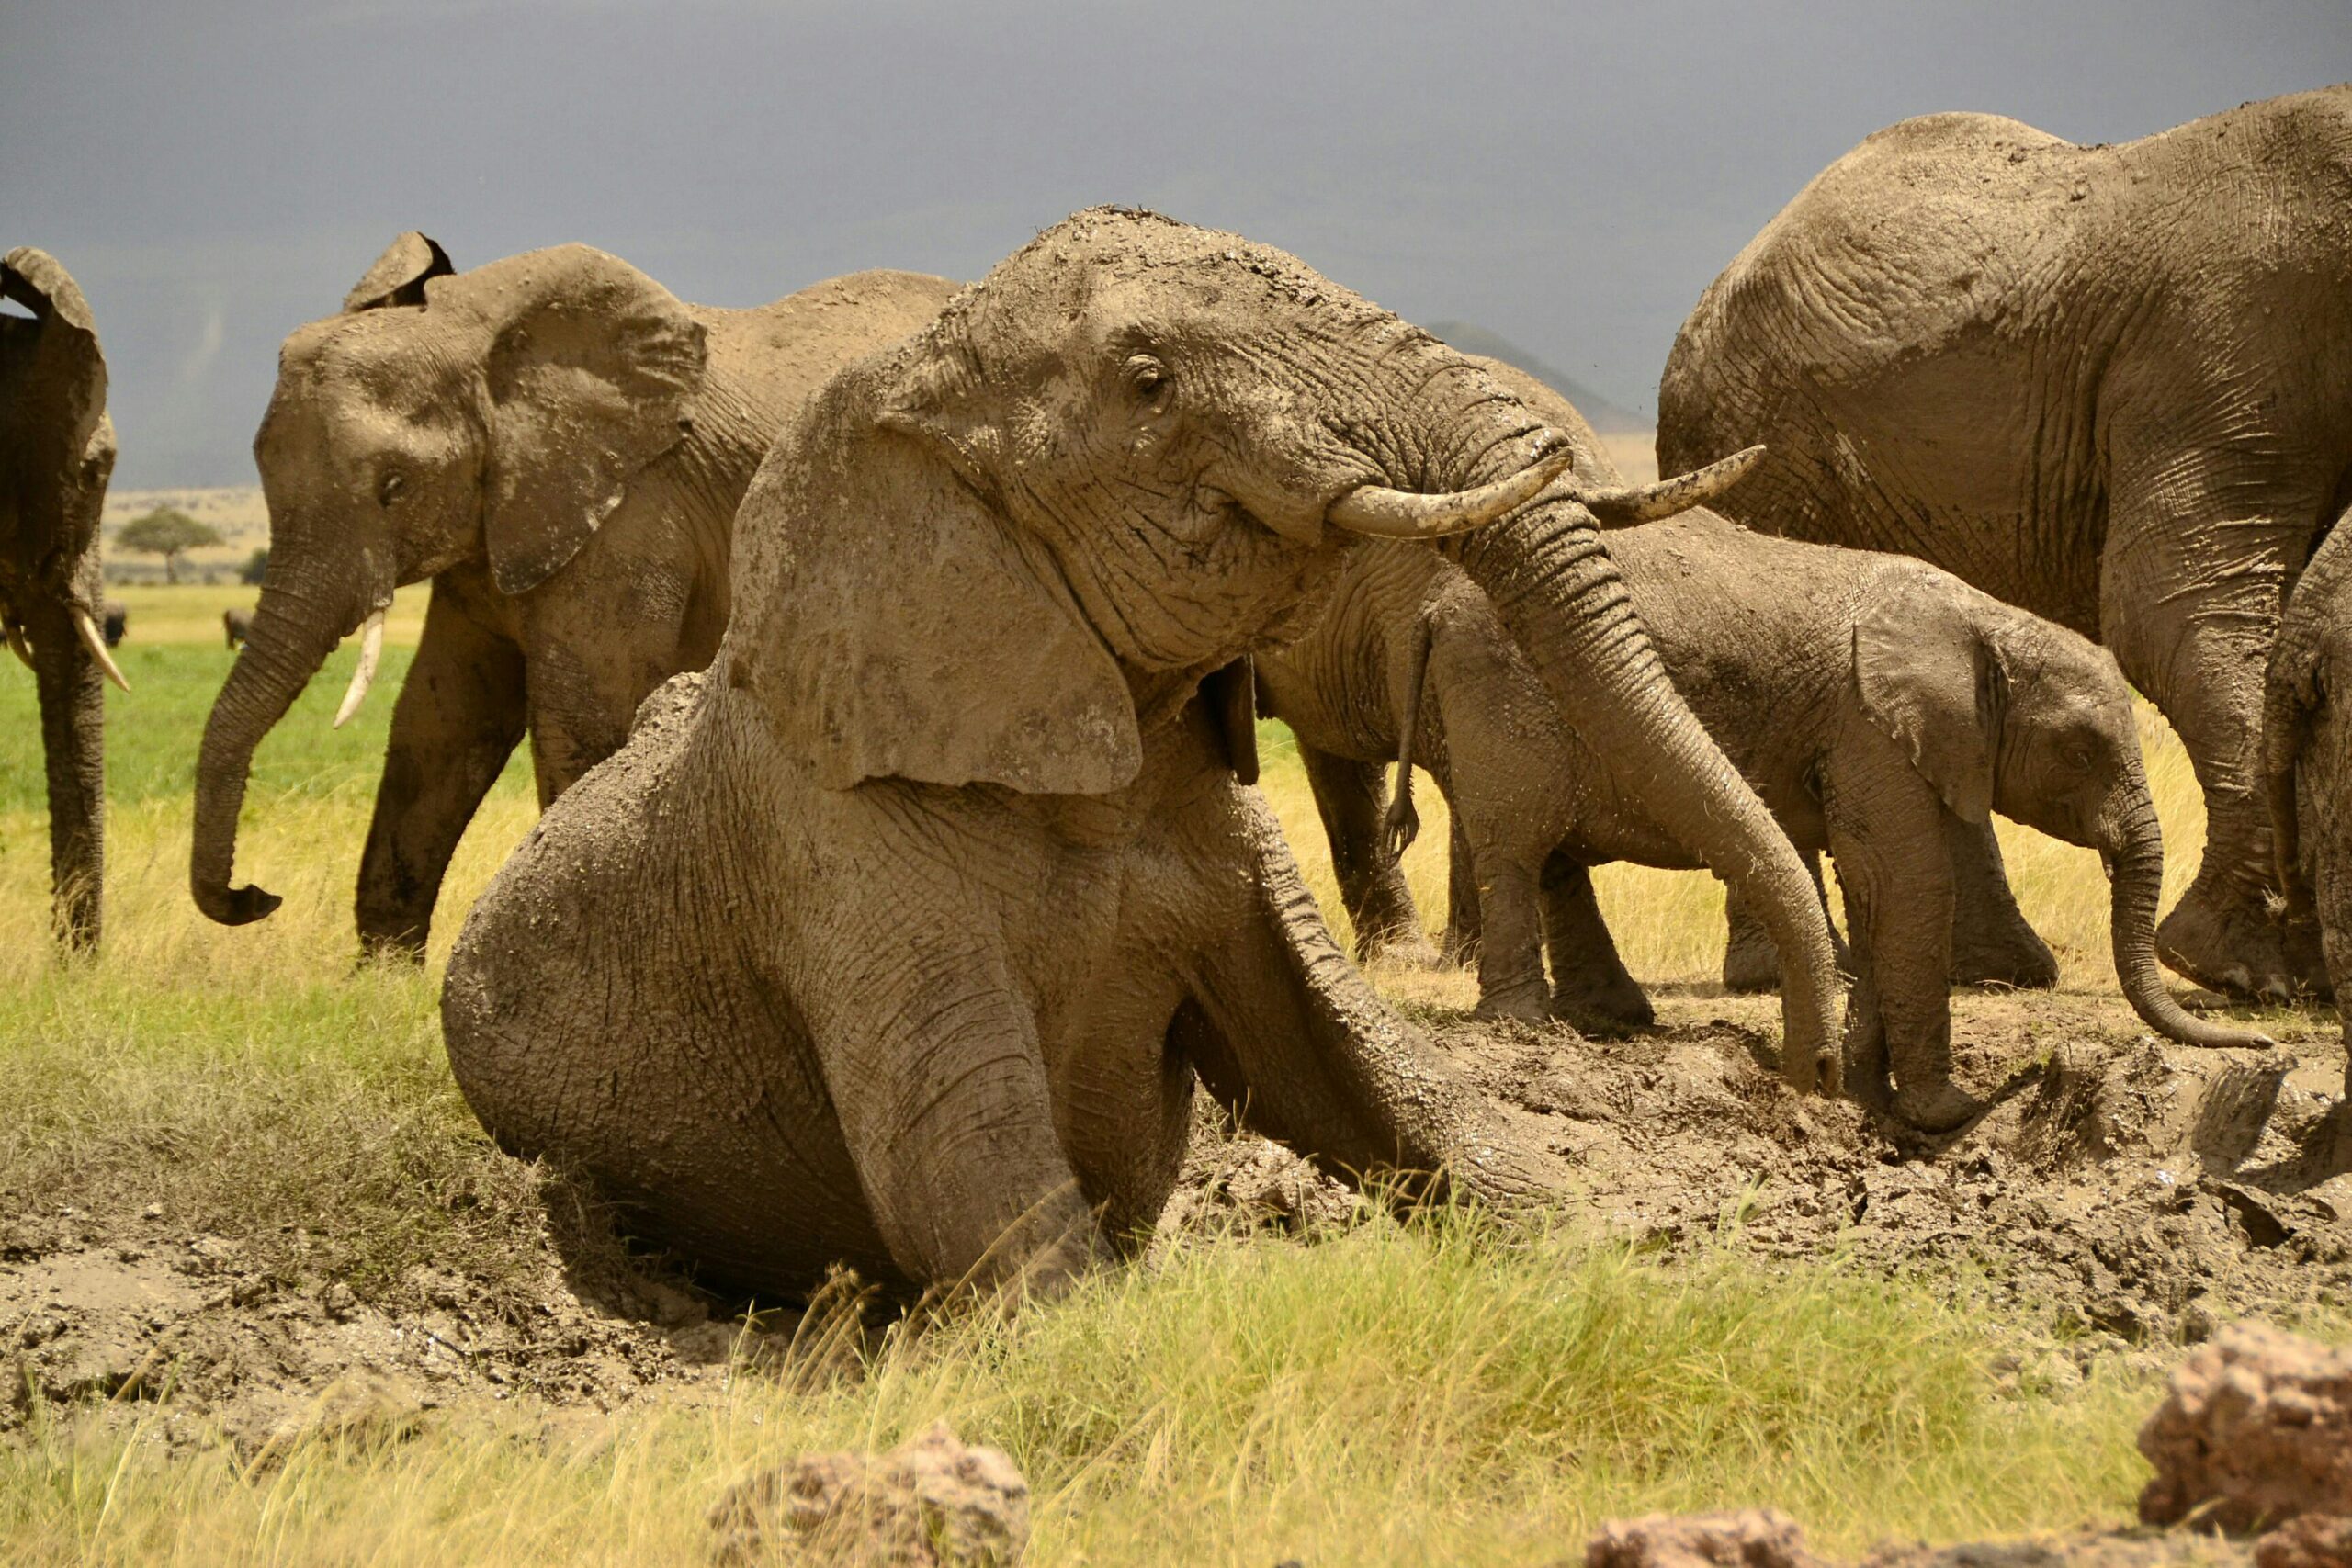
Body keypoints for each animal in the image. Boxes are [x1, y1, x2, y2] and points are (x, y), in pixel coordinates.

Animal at [186, 232, 955, 959]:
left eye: (394, 487)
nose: (257, 894)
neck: (484, 346)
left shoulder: (633, 512)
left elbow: (581, 718)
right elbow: (441, 720)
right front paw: (382, 978)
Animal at [433, 211, 1844, 1316]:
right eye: (1151, 380)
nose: (1811, 1073)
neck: (903, 397)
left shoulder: (1219, 821)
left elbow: (1352, 1066)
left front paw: (1613, 1258)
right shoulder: (830, 851)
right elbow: (962, 1161)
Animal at [1656, 88, 2352, 1006]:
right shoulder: (2223, 345)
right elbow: (2166, 612)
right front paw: (2248, 971)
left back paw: (1993, 971)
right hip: (1755, 435)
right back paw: (1790, 975)